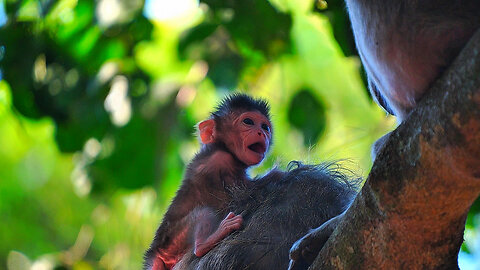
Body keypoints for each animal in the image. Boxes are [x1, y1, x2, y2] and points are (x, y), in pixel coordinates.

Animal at [142, 94, 272, 268]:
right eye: (248, 122)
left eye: (265, 127)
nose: (261, 133)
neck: (222, 148)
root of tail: (155, 251)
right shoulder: (220, 160)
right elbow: (246, 192)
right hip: (175, 237)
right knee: (203, 214)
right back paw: (206, 242)